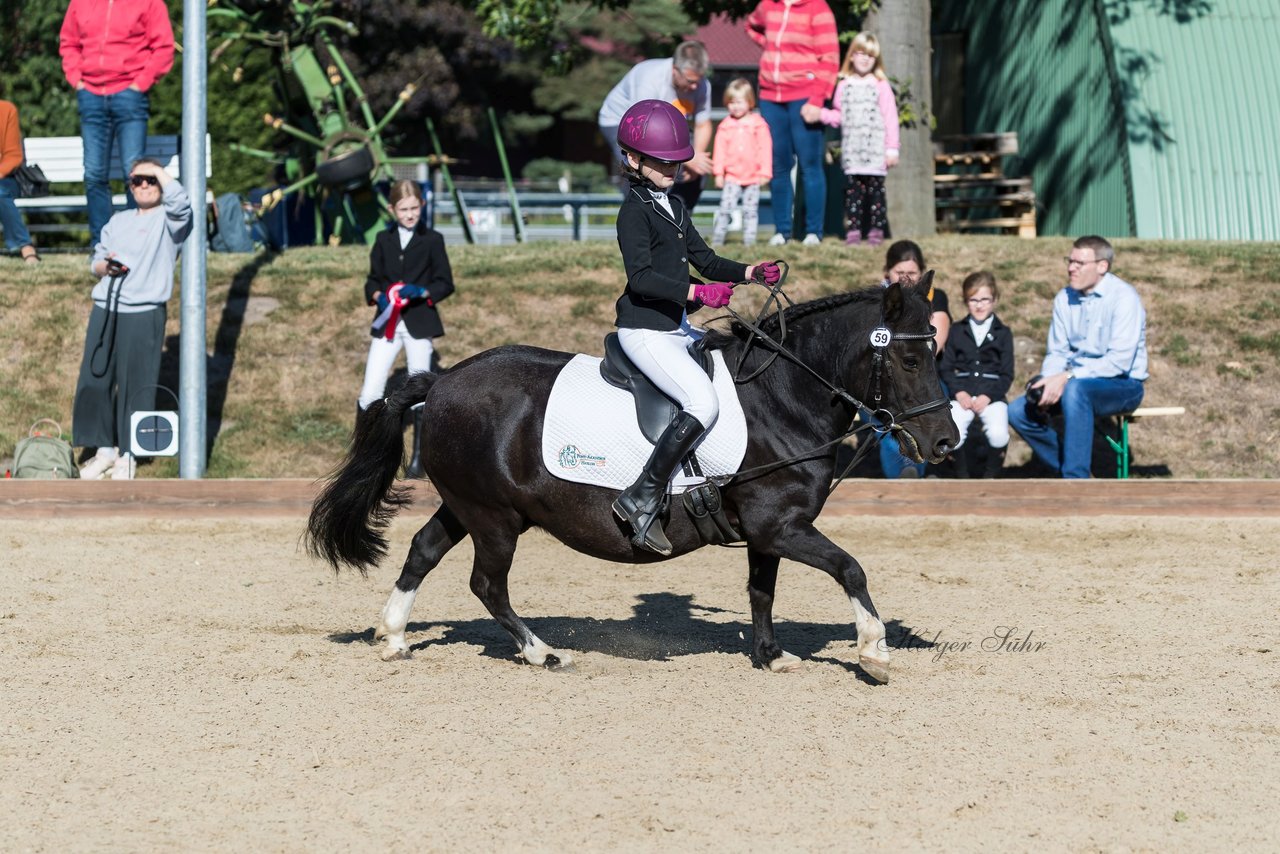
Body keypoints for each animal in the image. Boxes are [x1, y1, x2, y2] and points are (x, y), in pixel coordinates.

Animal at [304, 284, 957, 686]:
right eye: (910, 361)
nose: (947, 444)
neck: (784, 397)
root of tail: (438, 383)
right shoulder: (781, 525)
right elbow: (851, 569)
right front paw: (874, 651)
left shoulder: (769, 529)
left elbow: (761, 592)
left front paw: (771, 657)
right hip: (495, 520)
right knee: (487, 584)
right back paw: (542, 652)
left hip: (468, 505)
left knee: (423, 551)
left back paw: (393, 637)